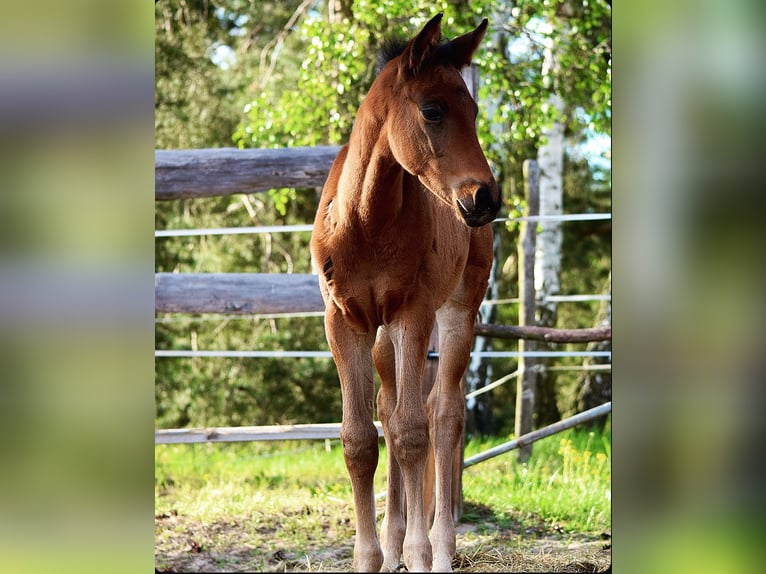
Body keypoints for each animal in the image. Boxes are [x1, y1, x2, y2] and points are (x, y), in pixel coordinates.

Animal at [308, 15, 500, 572]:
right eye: (432, 110)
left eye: (474, 112)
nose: (486, 197)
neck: (364, 222)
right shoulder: (344, 321)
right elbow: (360, 439)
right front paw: (370, 556)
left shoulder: (413, 314)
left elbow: (415, 432)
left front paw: (418, 553)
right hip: (381, 338)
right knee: (389, 412)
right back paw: (393, 542)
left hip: (458, 310)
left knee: (443, 414)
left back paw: (439, 548)